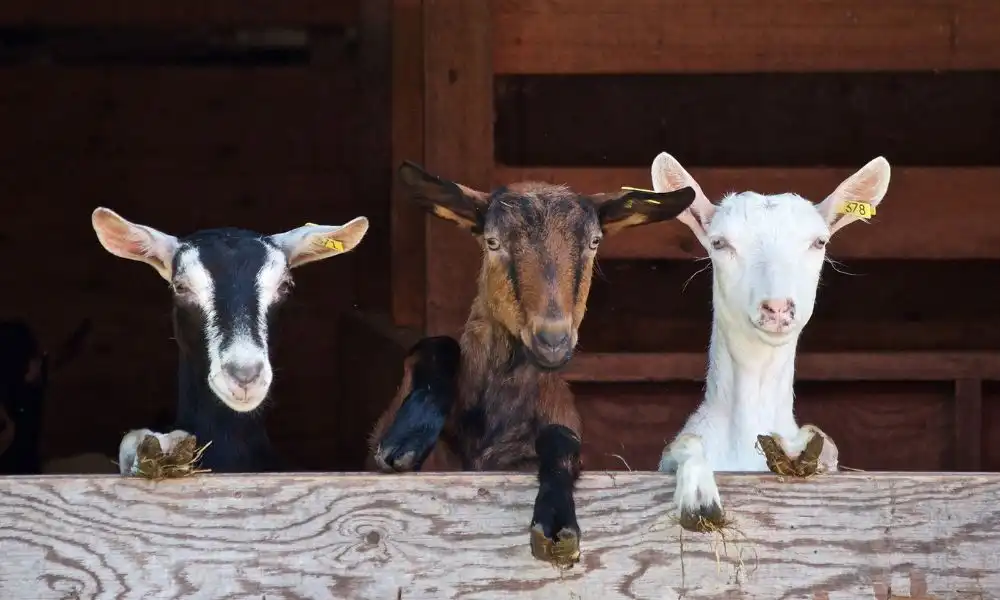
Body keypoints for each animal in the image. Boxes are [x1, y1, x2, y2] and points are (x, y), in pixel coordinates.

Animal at [368, 159, 696, 564]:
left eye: (594, 242)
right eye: (492, 241)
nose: (552, 340)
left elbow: (562, 440)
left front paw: (556, 521)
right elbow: (437, 345)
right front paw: (407, 439)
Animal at [652, 154, 896, 528]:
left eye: (819, 242)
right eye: (719, 243)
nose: (778, 307)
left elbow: (824, 444)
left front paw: (798, 449)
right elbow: (685, 443)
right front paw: (699, 498)